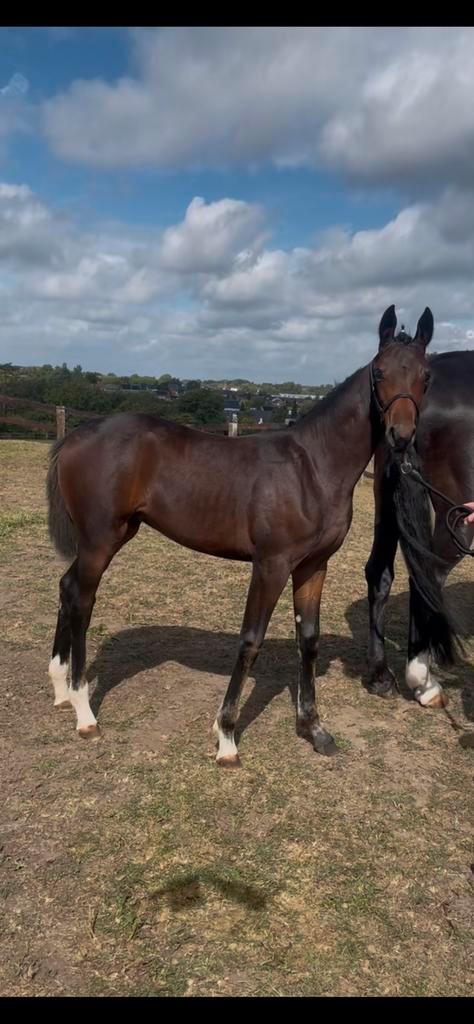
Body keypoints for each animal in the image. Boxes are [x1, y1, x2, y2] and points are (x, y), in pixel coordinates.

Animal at [46, 305, 447, 766]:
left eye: (426, 376)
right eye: (379, 372)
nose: (401, 436)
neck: (312, 467)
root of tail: (75, 436)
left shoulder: (313, 567)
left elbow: (308, 640)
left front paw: (314, 729)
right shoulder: (270, 565)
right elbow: (251, 640)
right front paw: (226, 737)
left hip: (113, 535)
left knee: (67, 586)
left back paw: (60, 688)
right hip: (100, 540)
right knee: (82, 600)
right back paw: (84, 711)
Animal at [365, 310, 474, 709]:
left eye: (423, 377)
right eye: (379, 372)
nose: (401, 431)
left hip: (387, 504)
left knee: (381, 572)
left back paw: (382, 674)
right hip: (458, 516)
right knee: (429, 574)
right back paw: (422, 678)